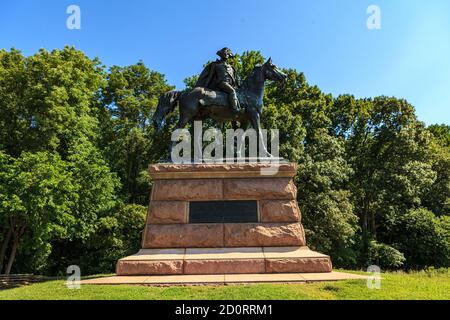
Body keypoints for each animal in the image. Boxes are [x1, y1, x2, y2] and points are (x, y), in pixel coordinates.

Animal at [153, 58, 286, 158]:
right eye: (273, 66)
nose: (285, 76)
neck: (249, 93)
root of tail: (184, 92)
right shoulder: (254, 115)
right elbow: (259, 133)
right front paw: (268, 154)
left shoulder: (245, 120)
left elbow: (241, 136)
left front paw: (238, 156)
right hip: (186, 116)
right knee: (175, 130)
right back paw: (171, 157)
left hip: (198, 118)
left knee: (196, 136)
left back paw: (200, 158)